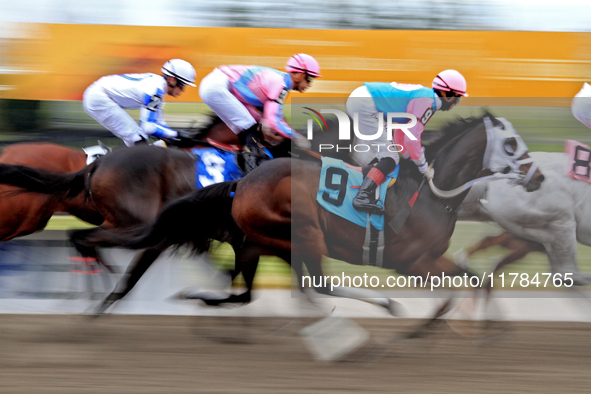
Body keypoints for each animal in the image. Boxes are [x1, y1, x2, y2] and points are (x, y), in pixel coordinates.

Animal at [93, 112, 544, 316]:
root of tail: (245, 182)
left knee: (291, 287)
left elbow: (479, 281)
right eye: (510, 144)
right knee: (316, 283)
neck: (431, 192)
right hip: (302, 232)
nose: (538, 175)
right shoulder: (412, 262)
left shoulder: (430, 260)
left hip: (278, 239)